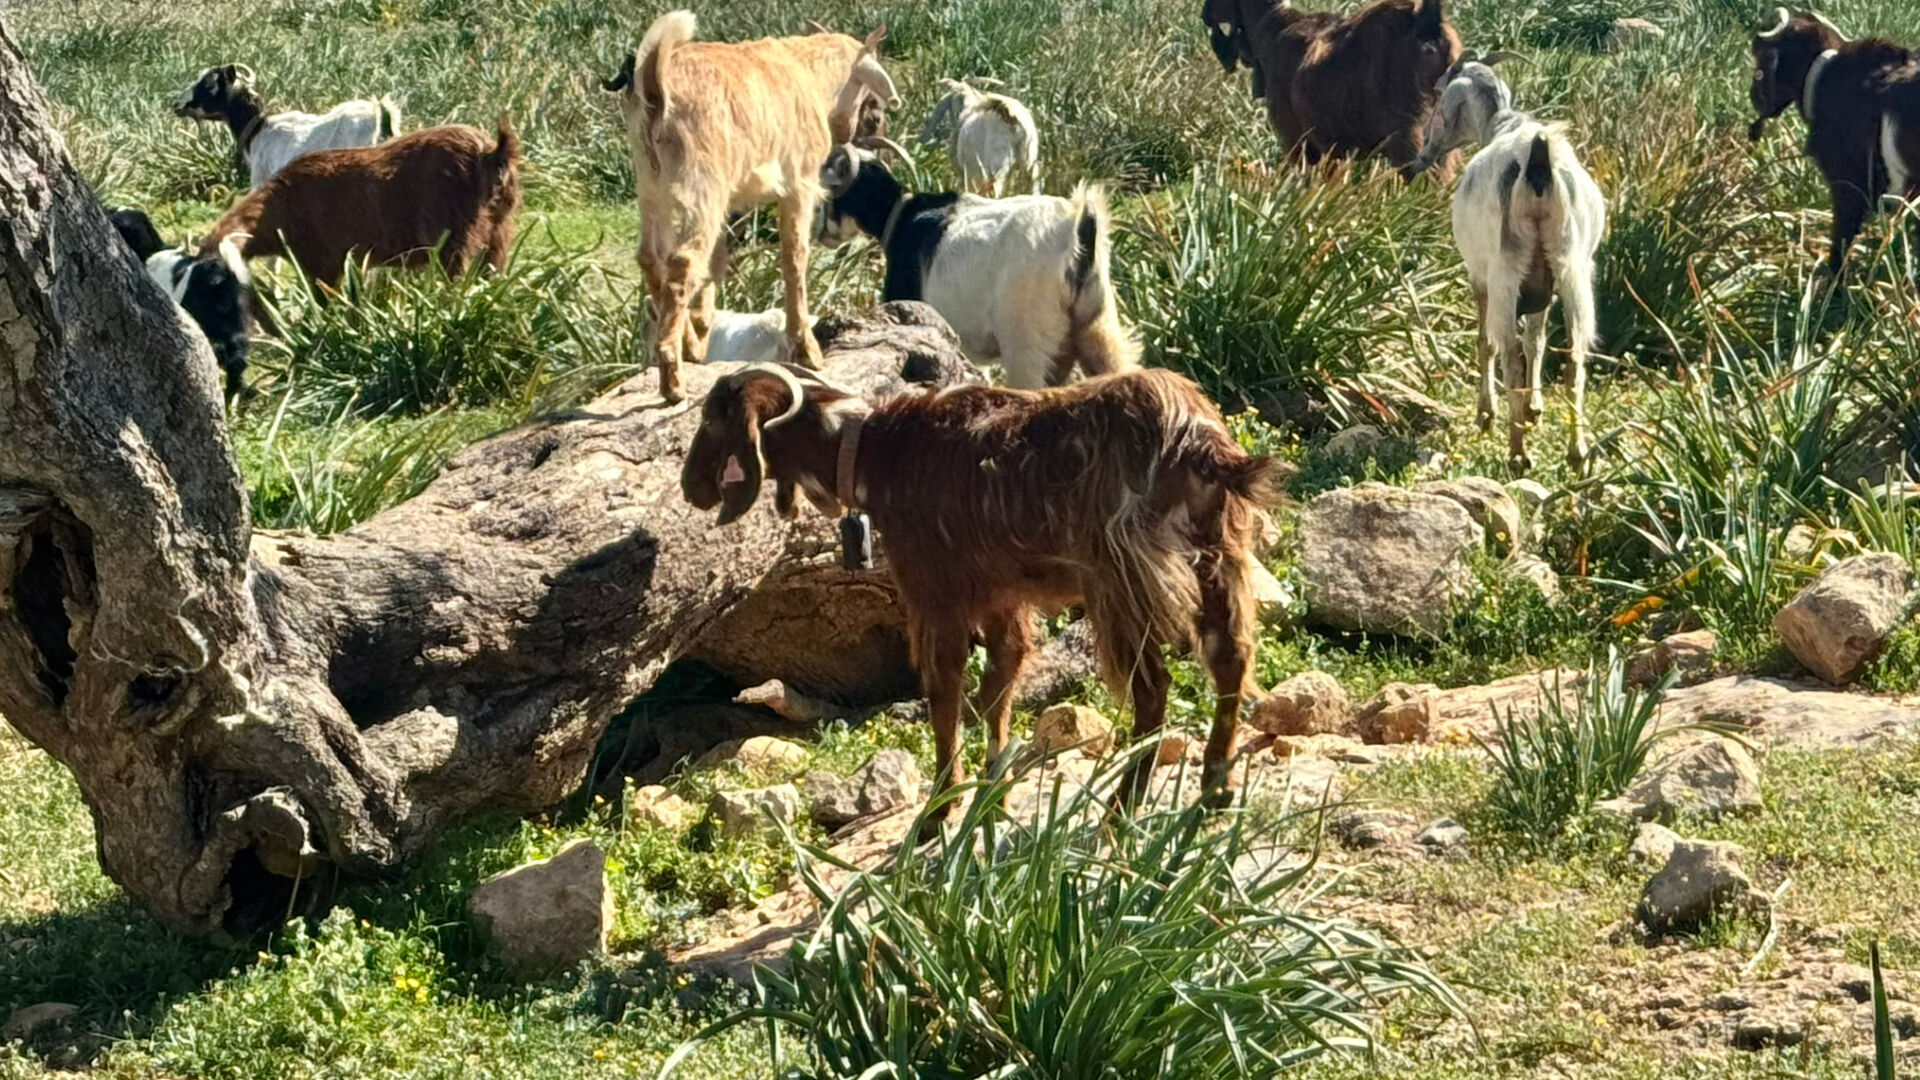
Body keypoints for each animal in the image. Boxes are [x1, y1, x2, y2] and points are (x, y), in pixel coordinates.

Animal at [110, 207, 256, 401]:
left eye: (123, 226)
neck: (151, 252)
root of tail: (225, 275)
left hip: (212, 321)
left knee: (228, 355)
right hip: (236, 321)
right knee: (238, 356)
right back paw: (237, 393)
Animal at [600, 12, 901, 404]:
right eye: (873, 109)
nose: (854, 135)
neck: (808, 74)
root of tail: (656, 83)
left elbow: (718, 261)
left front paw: (703, 326)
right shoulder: (799, 185)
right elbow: (794, 258)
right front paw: (808, 350)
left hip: (652, 188)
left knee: (653, 258)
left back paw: (689, 345)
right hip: (702, 183)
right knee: (683, 261)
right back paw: (673, 379)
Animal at [682, 363, 1275, 818]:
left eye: (712, 420)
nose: (691, 488)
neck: (876, 451)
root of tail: (1197, 442)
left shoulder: (935, 594)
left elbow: (945, 694)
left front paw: (940, 809)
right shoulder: (1001, 597)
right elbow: (997, 687)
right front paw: (995, 791)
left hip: (1123, 579)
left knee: (1152, 690)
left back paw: (1121, 808)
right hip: (1219, 557)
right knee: (1231, 659)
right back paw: (1216, 789)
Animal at [1404, 55, 1606, 474]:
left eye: (1439, 100)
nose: (1419, 160)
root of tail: (1539, 160)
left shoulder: (1479, 275)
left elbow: (1486, 344)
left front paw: (1487, 414)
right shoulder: (1544, 285)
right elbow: (1537, 340)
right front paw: (1534, 409)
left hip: (1505, 272)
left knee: (1509, 355)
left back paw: (1517, 454)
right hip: (1572, 269)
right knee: (1574, 359)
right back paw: (1577, 453)